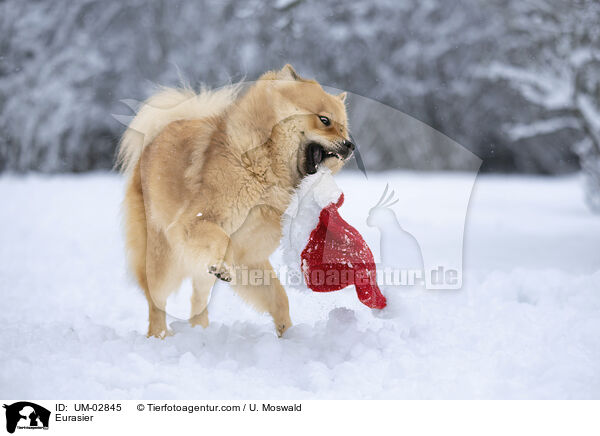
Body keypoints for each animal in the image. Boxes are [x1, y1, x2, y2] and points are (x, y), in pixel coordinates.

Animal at [117, 65, 352, 338]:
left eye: (344, 128)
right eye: (324, 120)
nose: (350, 145)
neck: (263, 167)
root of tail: (154, 139)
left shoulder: (248, 255)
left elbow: (278, 297)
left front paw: (288, 335)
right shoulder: (192, 223)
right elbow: (222, 238)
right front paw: (222, 265)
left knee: (198, 299)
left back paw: (201, 331)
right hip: (163, 259)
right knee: (157, 302)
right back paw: (160, 336)